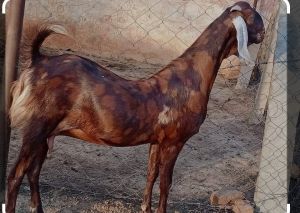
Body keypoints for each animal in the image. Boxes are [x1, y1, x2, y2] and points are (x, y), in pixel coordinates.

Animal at [6, 1, 264, 213]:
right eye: (254, 17)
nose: (263, 34)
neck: (189, 78)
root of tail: (38, 60)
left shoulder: (156, 141)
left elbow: (151, 175)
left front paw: (145, 208)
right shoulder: (174, 141)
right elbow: (165, 183)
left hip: (44, 134)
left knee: (33, 172)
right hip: (35, 128)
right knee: (15, 175)